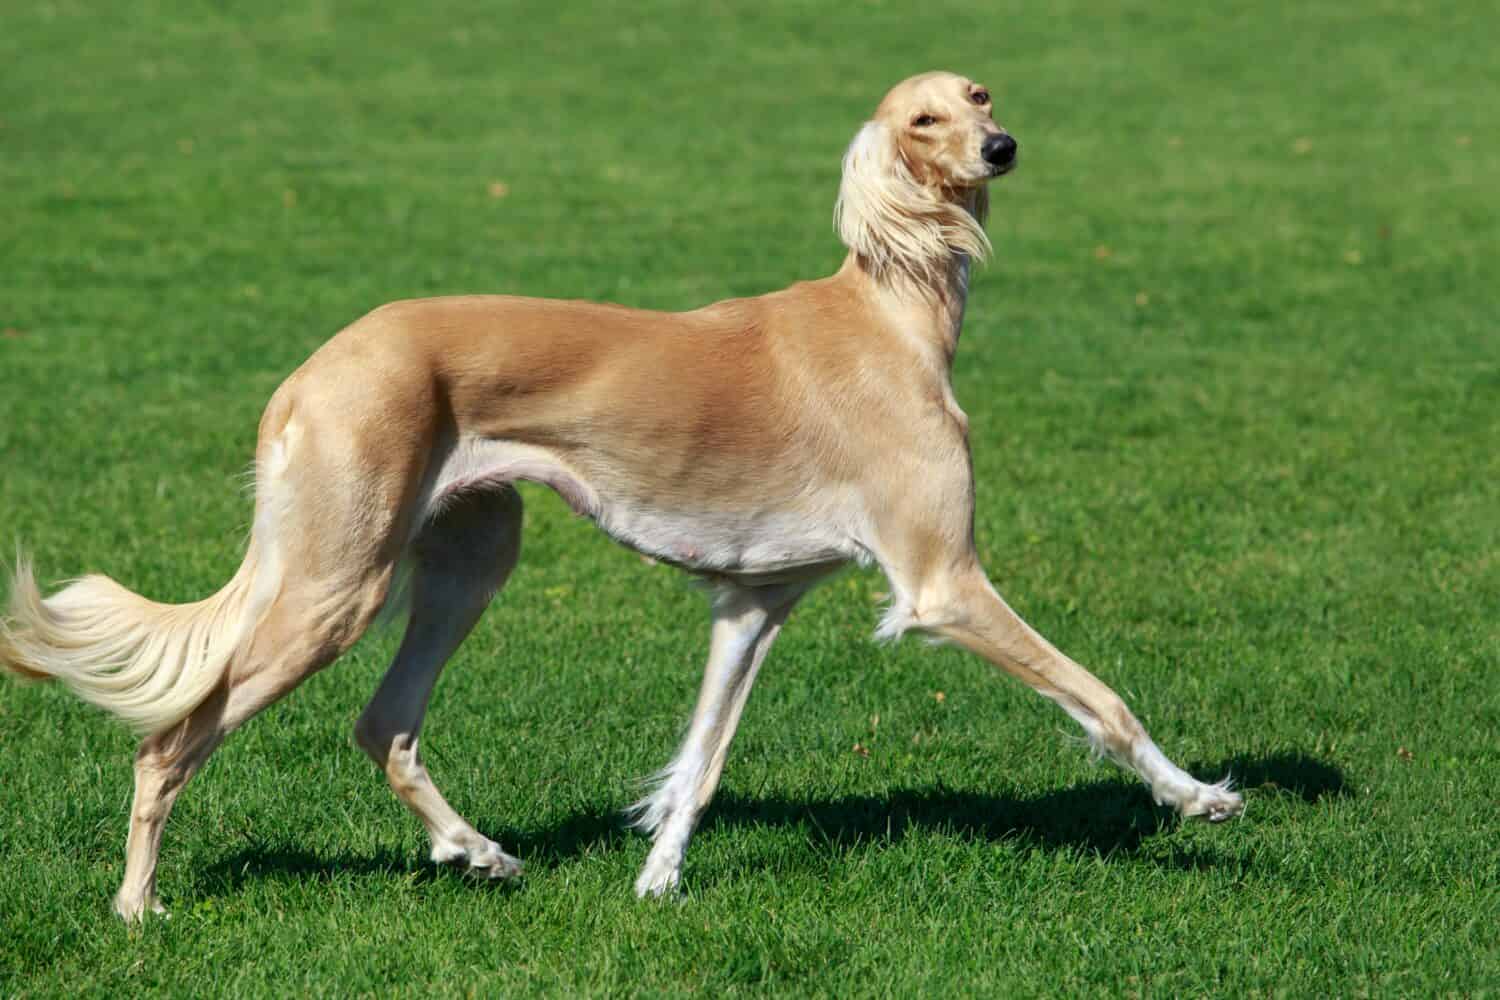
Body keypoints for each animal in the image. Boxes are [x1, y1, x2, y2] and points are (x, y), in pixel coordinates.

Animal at [0, 72, 1242, 923]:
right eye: (922, 120)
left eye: (979, 95)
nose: (1002, 142)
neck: (890, 313)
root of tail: (310, 370)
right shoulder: (943, 580)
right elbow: (1102, 696)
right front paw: (1199, 797)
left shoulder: (755, 604)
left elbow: (699, 764)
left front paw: (654, 880)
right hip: (332, 584)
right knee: (171, 742)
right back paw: (139, 906)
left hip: (467, 556)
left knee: (383, 722)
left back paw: (481, 852)